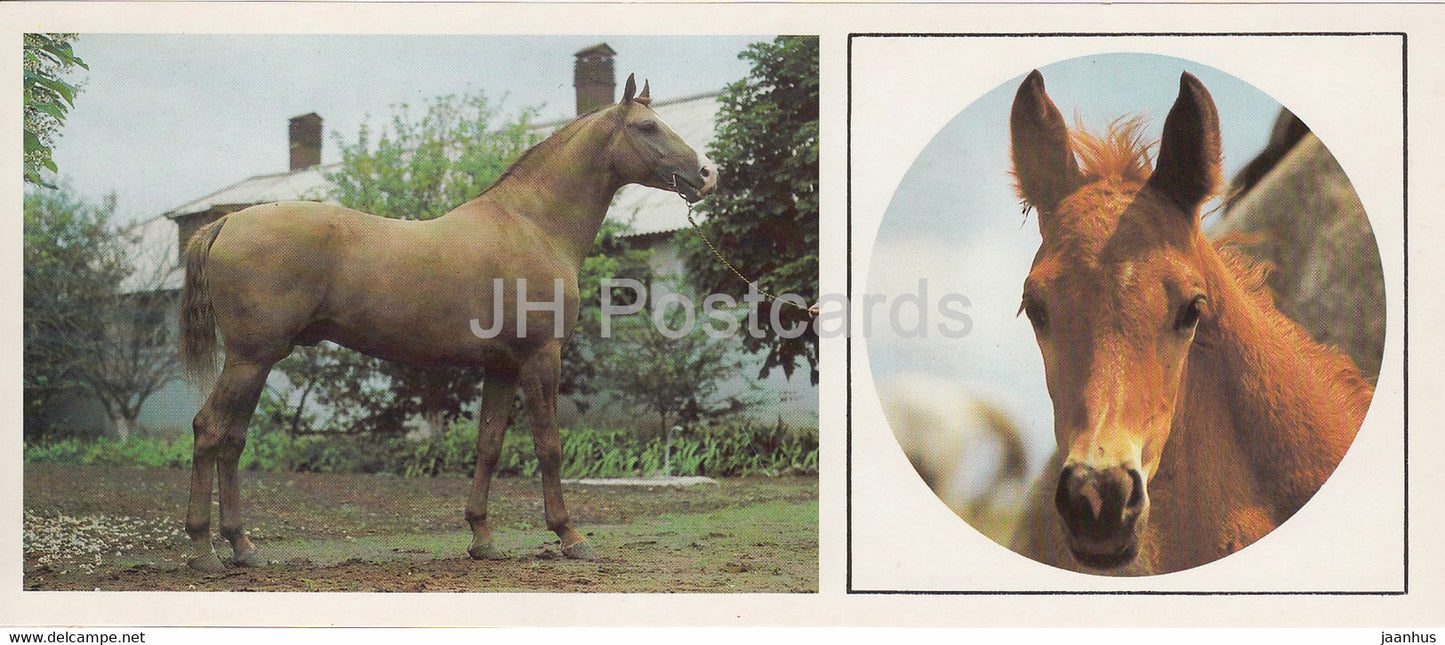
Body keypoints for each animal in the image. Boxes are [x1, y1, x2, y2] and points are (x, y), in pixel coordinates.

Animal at [178, 74, 717, 572]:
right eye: (648, 127)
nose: (707, 173)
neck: (533, 224)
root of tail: (226, 223)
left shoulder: (502, 366)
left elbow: (489, 446)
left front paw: (482, 538)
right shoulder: (541, 357)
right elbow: (548, 446)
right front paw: (570, 536)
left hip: (259, 360)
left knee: (233, 439)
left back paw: (243, 547)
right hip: (251, 358)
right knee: (210, 429)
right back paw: (204, 549)